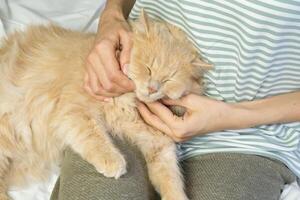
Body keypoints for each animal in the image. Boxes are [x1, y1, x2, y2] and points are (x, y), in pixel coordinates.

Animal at [0, 10, 211, 199]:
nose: (152, 88)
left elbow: (171, 179)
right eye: (148, 68)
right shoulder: (73, 108)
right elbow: (94, 137)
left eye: (169, 79)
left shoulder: (159, 143)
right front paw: (113, 162)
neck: (131, 103)